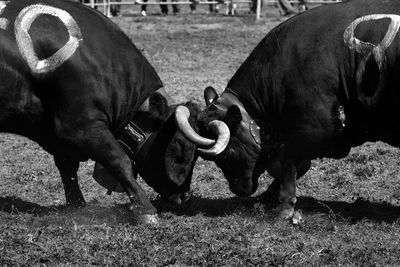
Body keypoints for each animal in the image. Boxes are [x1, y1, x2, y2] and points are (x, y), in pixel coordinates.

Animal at [0, 0, 205, 225]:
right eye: (180, 149)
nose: (185, 196)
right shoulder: (81, 126)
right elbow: (119, 159)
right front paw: (145, 209)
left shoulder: (58, 134)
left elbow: (67, 167)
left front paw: (77, 205)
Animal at [178, 0, 400, 221]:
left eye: (228, 154)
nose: (237, 189)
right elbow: (298, 165)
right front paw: (265, 199)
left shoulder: (313, 127)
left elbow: (289, 163)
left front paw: (285, 206)